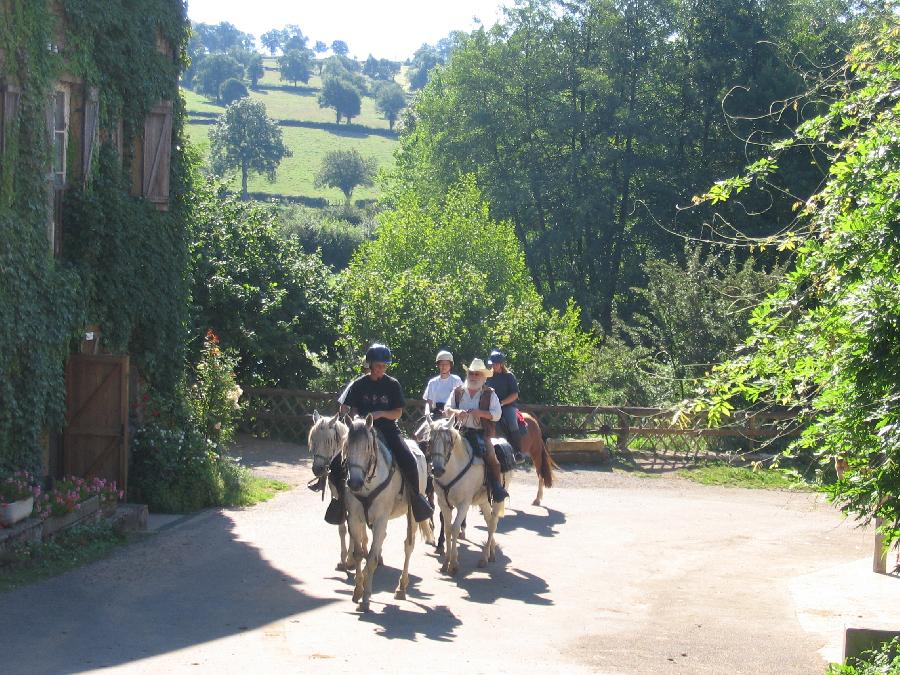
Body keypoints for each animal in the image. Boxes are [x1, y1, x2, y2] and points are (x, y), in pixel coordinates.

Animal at [342, 414, 434, 616]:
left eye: (368, 448)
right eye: (346, 446)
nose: (354, 483)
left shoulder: (380, 519)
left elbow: (371, 558)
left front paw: (366, 599)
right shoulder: (354, 518)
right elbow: (359, 554)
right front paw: (357, 590)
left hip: (411, 516)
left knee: (408, 546)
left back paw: (401, 588)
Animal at [428, 420, 506, 572]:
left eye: (448, 441)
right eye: (430, 440)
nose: (438, 470)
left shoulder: (464, 504)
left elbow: (455, 528)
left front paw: (453, 563)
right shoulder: (443, 503)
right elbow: (447, 529)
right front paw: (446, 562)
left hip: (497, 500)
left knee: (492, 525)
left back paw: (484, 558)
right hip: (483, 501)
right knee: (489, 522)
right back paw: (491, 552)